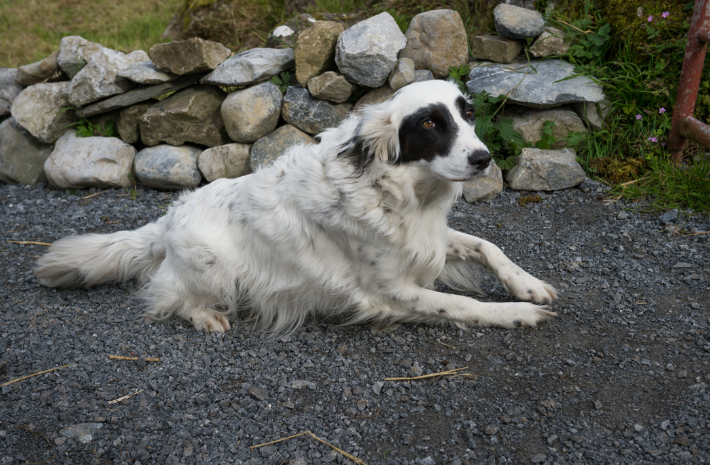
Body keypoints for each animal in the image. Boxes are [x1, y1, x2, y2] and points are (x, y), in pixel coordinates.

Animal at [33, 80, 560, 334]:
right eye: (430, 123)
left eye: (467, 115)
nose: (483, 158)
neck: (395, 190)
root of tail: (167, 219)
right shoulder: (389, 292)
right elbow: (463, 305)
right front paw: (517, 314)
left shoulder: (425, 239)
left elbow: (488, 246)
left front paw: (529, 287)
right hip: (213, 266)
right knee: (167, 296)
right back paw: (205, 316)